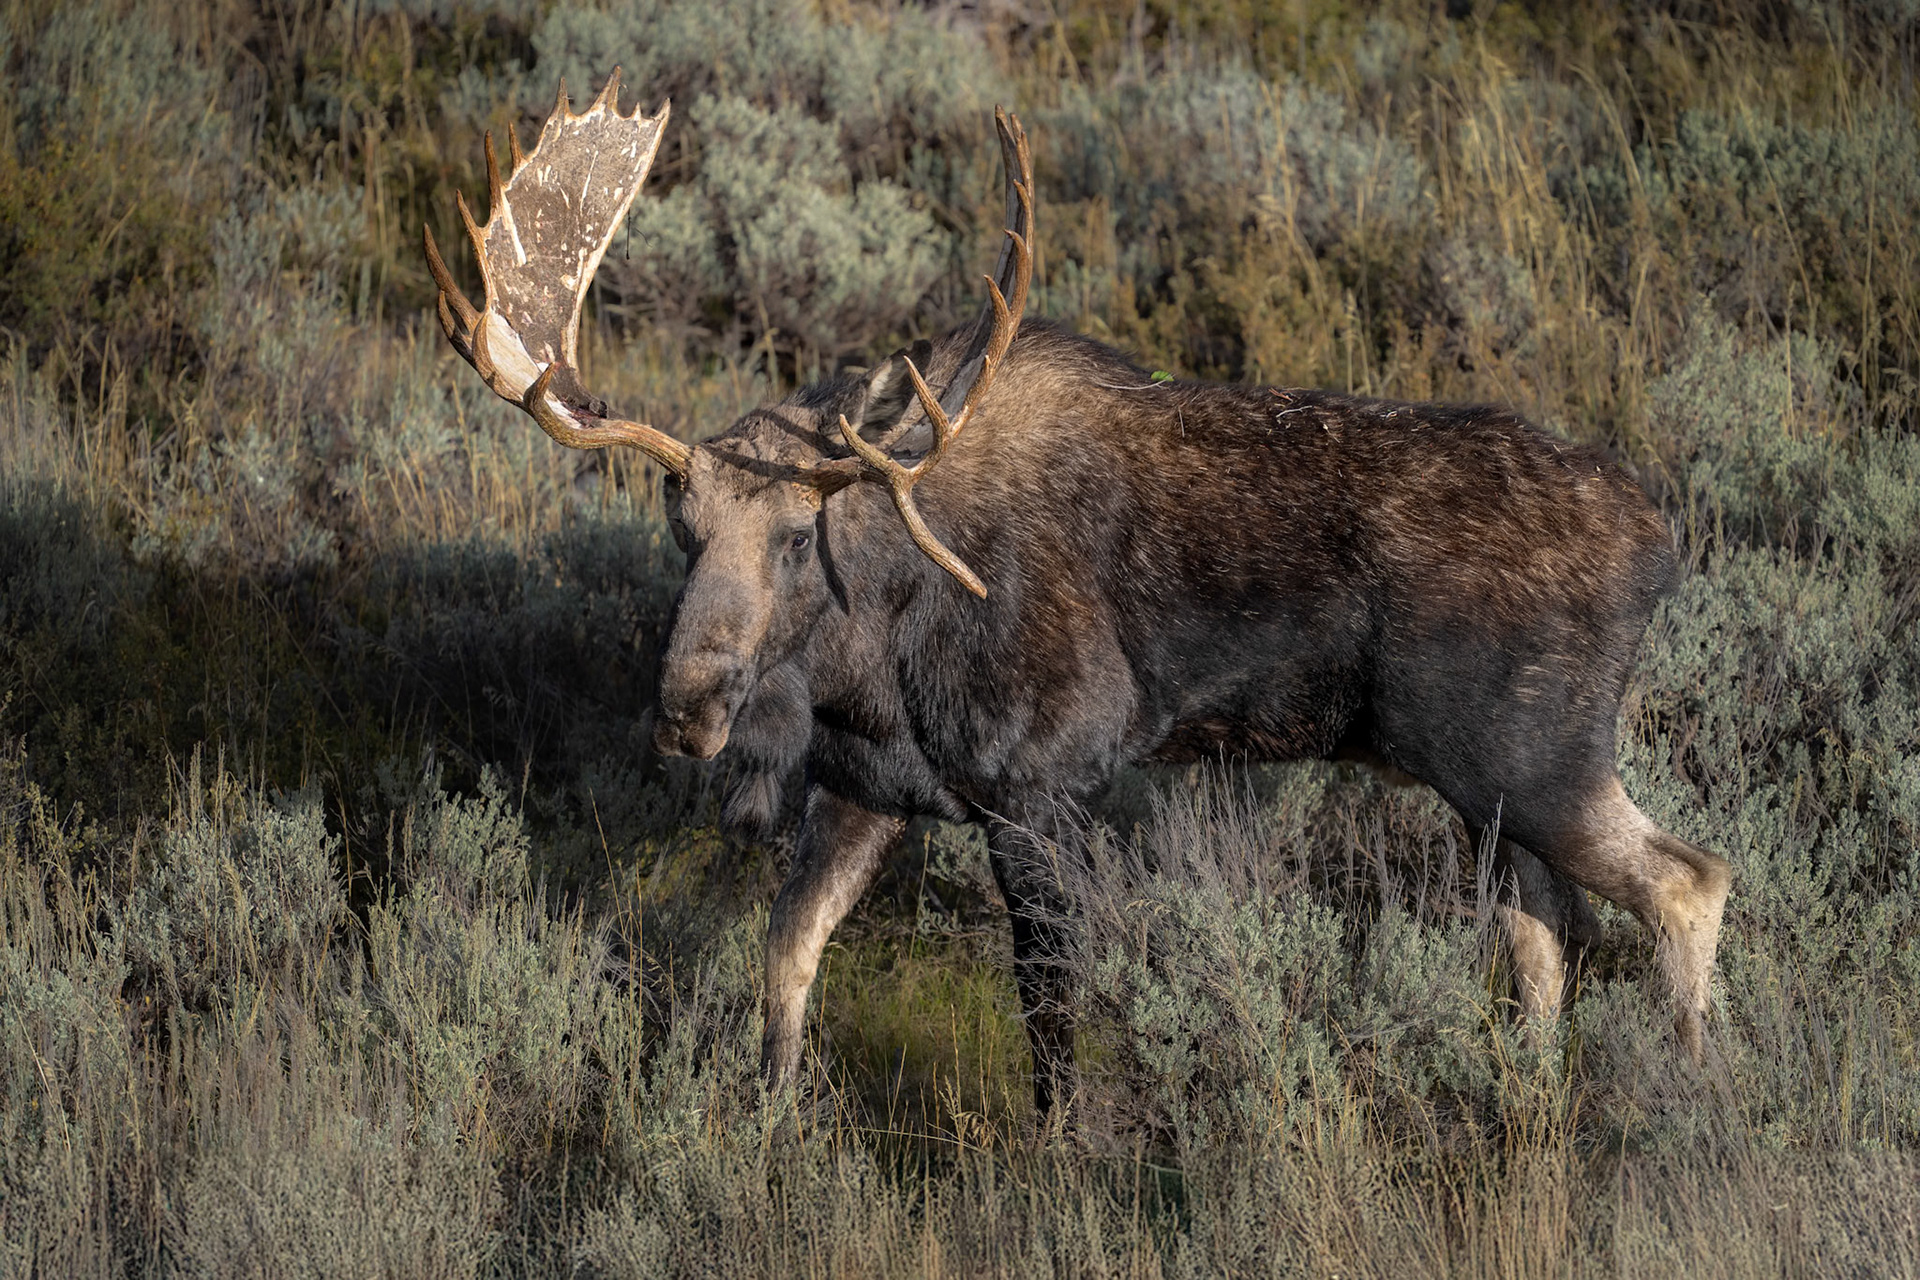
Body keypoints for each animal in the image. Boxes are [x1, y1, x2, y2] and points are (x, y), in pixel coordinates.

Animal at [424, 71, 1731, 1116]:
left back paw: (1683, 1102)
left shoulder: (1038, 789)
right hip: (1484, 783)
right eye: (679, 527)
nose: (689, 709)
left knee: (1686, 880)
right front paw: (765, 1119)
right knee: (1547, 931)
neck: (869, 653)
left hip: (1530, 751)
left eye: (800, 535)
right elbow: (785, 960)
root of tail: (1657, 536)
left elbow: (1052, 1017)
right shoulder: (869, 786)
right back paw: (1530, 1103)